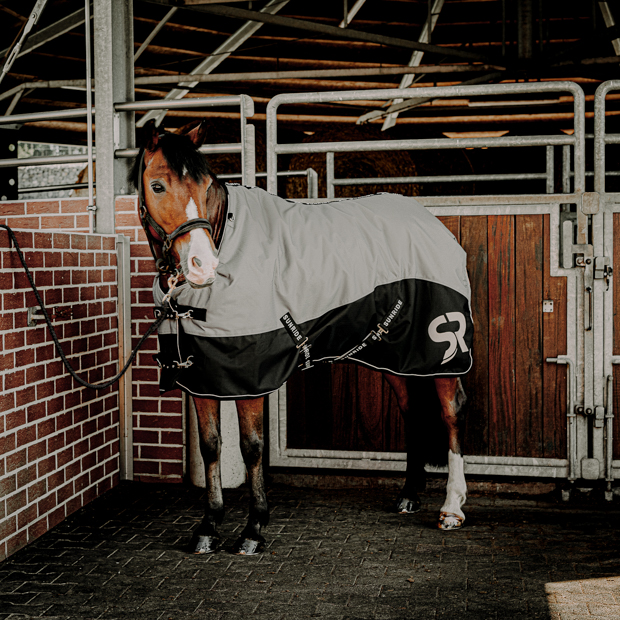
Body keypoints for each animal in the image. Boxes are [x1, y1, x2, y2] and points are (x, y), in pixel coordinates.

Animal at [130, 118, 470, 556]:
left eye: (205, 185)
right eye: (157, 186)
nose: (204, 266)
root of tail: (433, 225)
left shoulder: (250, 377)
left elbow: (252, 447)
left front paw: (254, 529)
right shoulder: (202, 376)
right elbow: (211, 446)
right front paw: (208, 527)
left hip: (441, 348)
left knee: (450, 413)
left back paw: (452, 508)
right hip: (394, 354)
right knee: (412, 411)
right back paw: (409, 495)